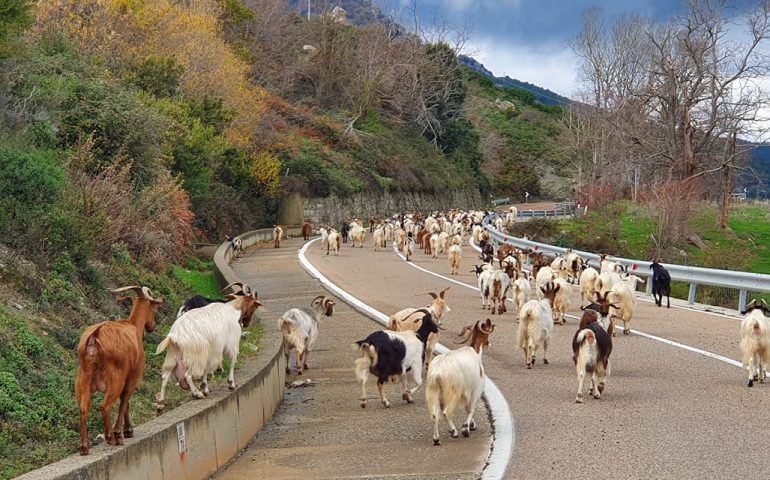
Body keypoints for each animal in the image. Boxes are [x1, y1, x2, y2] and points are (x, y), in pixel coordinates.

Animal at [75, 286, 162, 456]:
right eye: (153, 308)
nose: (152, 325)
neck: (133, 326)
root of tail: (94, 337)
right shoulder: (133, 376)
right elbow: (125, 399)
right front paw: (123, 432)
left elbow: (125, 402)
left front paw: (127, 431)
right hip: (115, 378)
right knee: (105, 406)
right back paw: (111, 437)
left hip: (83, 379)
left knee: (83, 408)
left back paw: (84, 447)